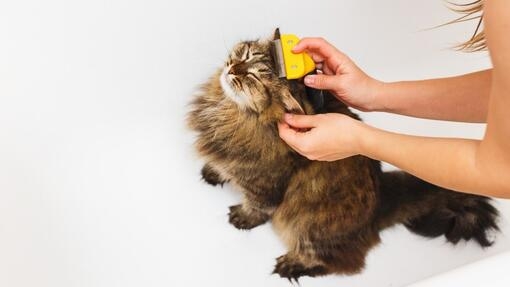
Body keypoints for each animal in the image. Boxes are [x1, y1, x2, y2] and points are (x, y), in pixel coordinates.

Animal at [187, 29, 498, 282]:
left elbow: (257, 207)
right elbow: (223, 168)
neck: (230, 113)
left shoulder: (265, 184)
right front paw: (213, 172)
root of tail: (381, 202)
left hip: (308, 224)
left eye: (252, 76)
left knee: (336, 262)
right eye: (246, 54)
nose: (233, 68)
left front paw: (242, 217)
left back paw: (292, 264)